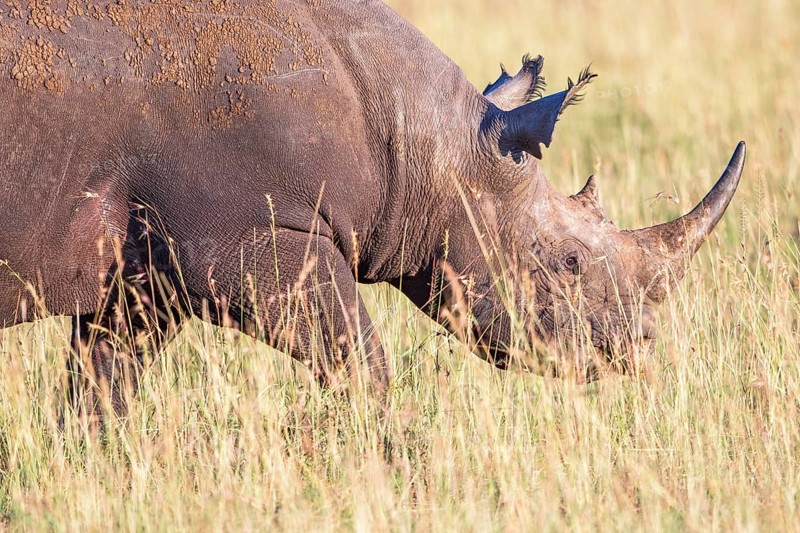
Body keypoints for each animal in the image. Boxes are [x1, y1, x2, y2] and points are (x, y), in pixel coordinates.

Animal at [0, 1, 744, 410]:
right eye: (567, 263)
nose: (641, 346)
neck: (433, 145)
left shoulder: (143, 272)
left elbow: (102, 386)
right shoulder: (251, 238)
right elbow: (362, 364)